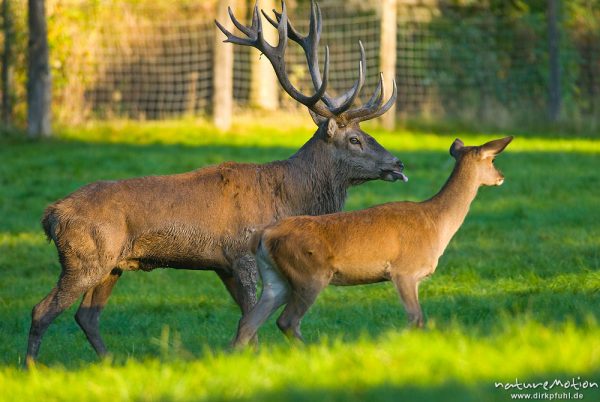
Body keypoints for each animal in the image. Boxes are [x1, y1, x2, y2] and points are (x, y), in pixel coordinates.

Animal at [232, 137, 512, 348]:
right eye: (493, 159)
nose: (501, 176)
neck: (435, 223)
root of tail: (263, 235)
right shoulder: (405, 271)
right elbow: (416, 319)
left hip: (275, 279)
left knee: (247, 322)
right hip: (309, 273)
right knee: (287, 321)